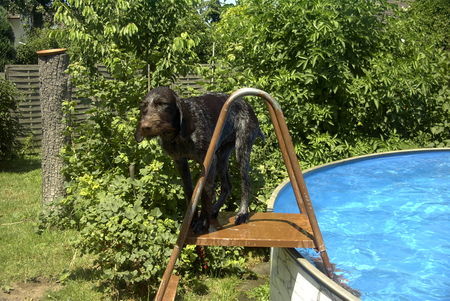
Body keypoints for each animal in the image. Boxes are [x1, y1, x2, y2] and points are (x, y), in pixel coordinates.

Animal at [135, 86, 266, 232]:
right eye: (144, 106)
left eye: (162, 104)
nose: (145, 127)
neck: (177, 136)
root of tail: (247, 105)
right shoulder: (180, 162)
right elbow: (189, 191)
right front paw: (192, 219)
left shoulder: (208, 162)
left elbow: (204, 192)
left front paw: (202, 222)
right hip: (221, 157)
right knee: (227, 186)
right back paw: (214, 210)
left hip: (241, 150)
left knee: (246, 183)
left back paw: (242, 213)